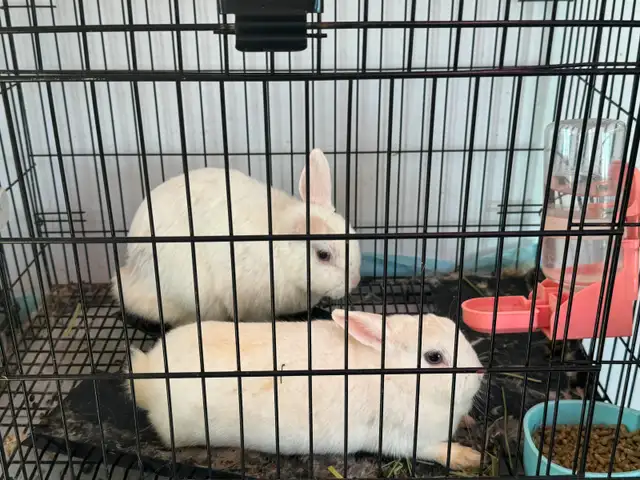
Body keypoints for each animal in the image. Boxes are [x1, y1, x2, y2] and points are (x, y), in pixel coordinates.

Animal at [125, 309, 484, 470]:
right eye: (434, 357)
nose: (480, 373)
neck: (395, 378)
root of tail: (149, 375)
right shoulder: (401, 437)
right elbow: (433, 450)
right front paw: (469, 457)